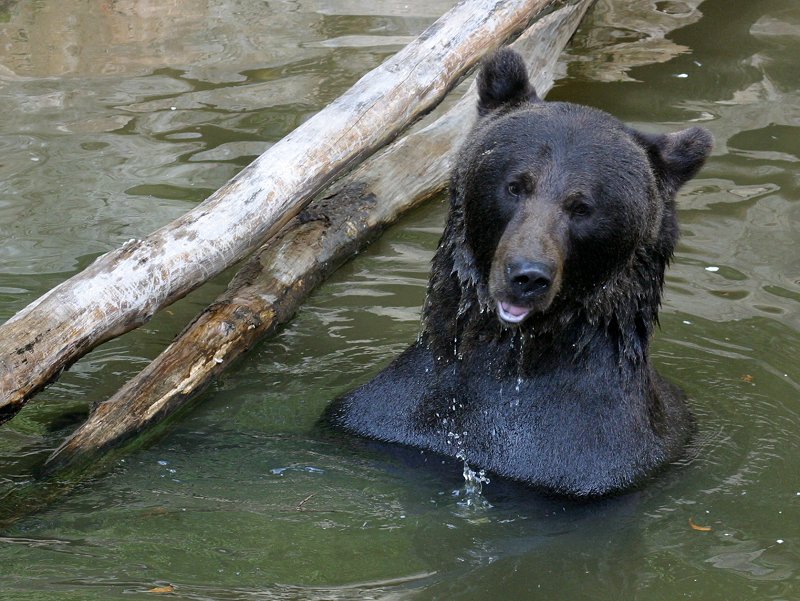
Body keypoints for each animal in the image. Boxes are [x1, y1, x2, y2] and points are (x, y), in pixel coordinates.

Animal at [324, 48, 712, 496]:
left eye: (582, 207)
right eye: (515, 185)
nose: (527, 276)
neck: (514, 356)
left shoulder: (590, 455)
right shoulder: (396, 414)